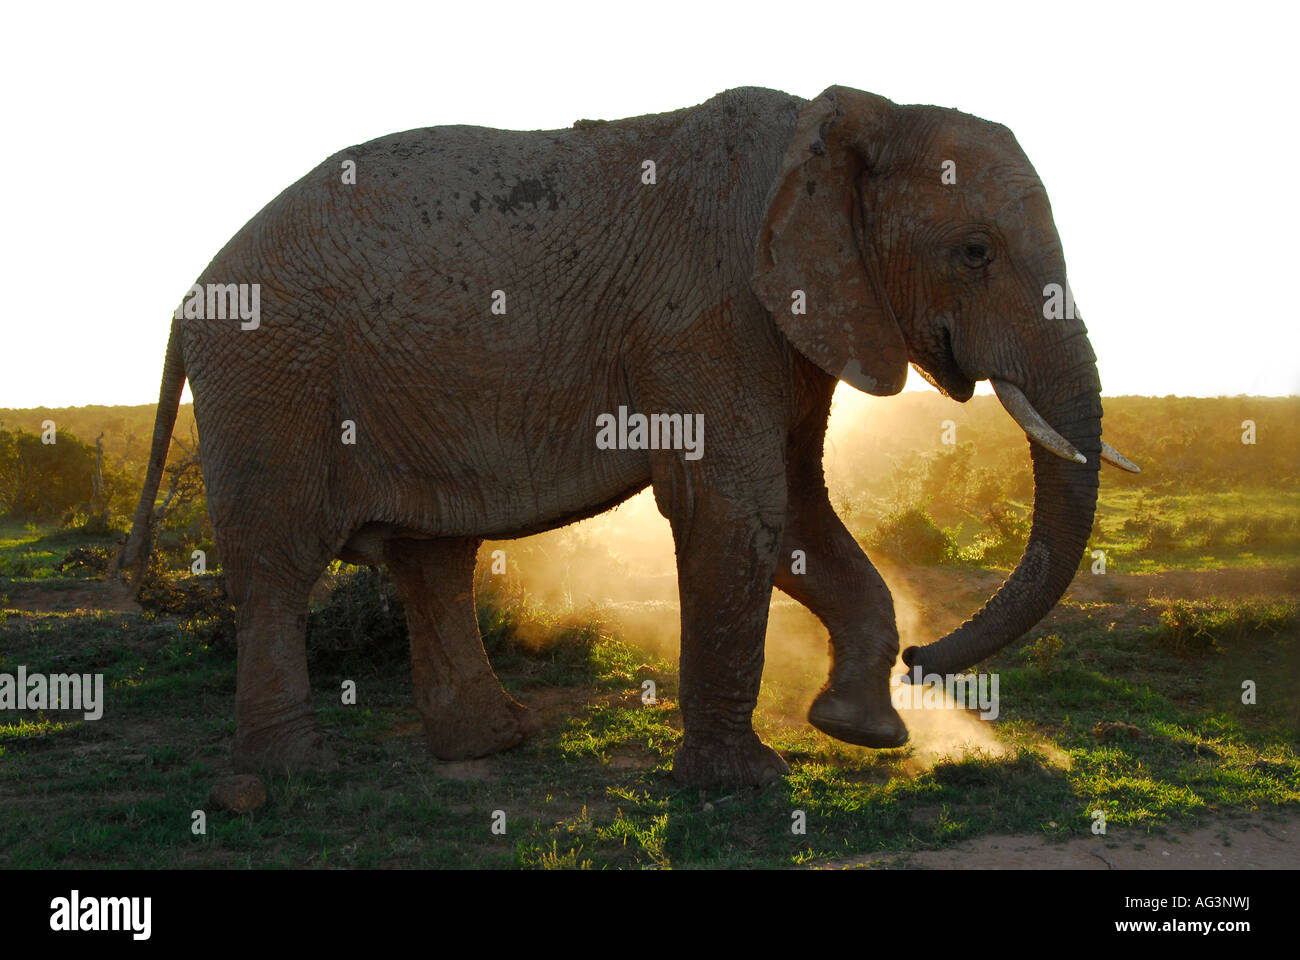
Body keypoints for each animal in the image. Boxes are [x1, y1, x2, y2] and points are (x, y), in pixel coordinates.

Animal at [122, 82, 1138, 785]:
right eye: (975, 253)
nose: (928, 663)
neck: (843, 121)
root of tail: (188, 297)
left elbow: (796, 509)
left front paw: (861, 731)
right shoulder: (706, 311)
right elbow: (738, 507)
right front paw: (744, 787)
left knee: (431, 559)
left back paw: (494, 744)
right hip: (273, 376)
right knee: (279, 565)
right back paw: (293, 774)